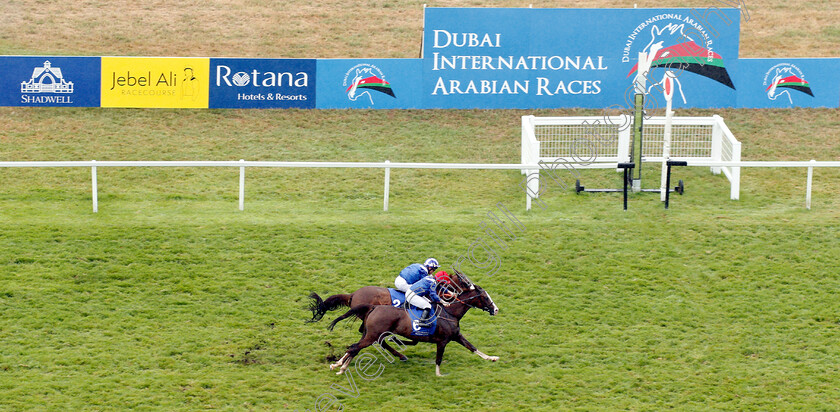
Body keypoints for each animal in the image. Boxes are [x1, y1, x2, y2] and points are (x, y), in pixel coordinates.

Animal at [328, 280, 498, 376]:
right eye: (485, 297)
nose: (495, 309)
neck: (449, 312)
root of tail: (373, 307)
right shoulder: (442, 341)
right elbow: (439, 359)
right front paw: (439, 375)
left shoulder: (456, 336)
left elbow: (472, 347)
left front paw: (492, 358)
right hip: (372, 335)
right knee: (354, 347)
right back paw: (339, 366)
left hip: (368, 334)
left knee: (355, 347)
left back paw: (341, 366)